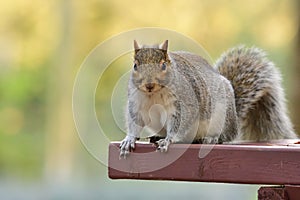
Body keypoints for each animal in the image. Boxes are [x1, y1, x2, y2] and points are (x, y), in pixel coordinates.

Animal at [119, 39, 298, 157]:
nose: (149, 84)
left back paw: (210, 138)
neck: (153, 94)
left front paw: (168, 140)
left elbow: (180, 123)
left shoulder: (184, 104)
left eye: (163, 65)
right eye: (135, 66)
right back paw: (159, 135)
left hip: (221, 117)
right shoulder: (136, 104)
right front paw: (129, 139)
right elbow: (134, 122)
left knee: (225, 136)